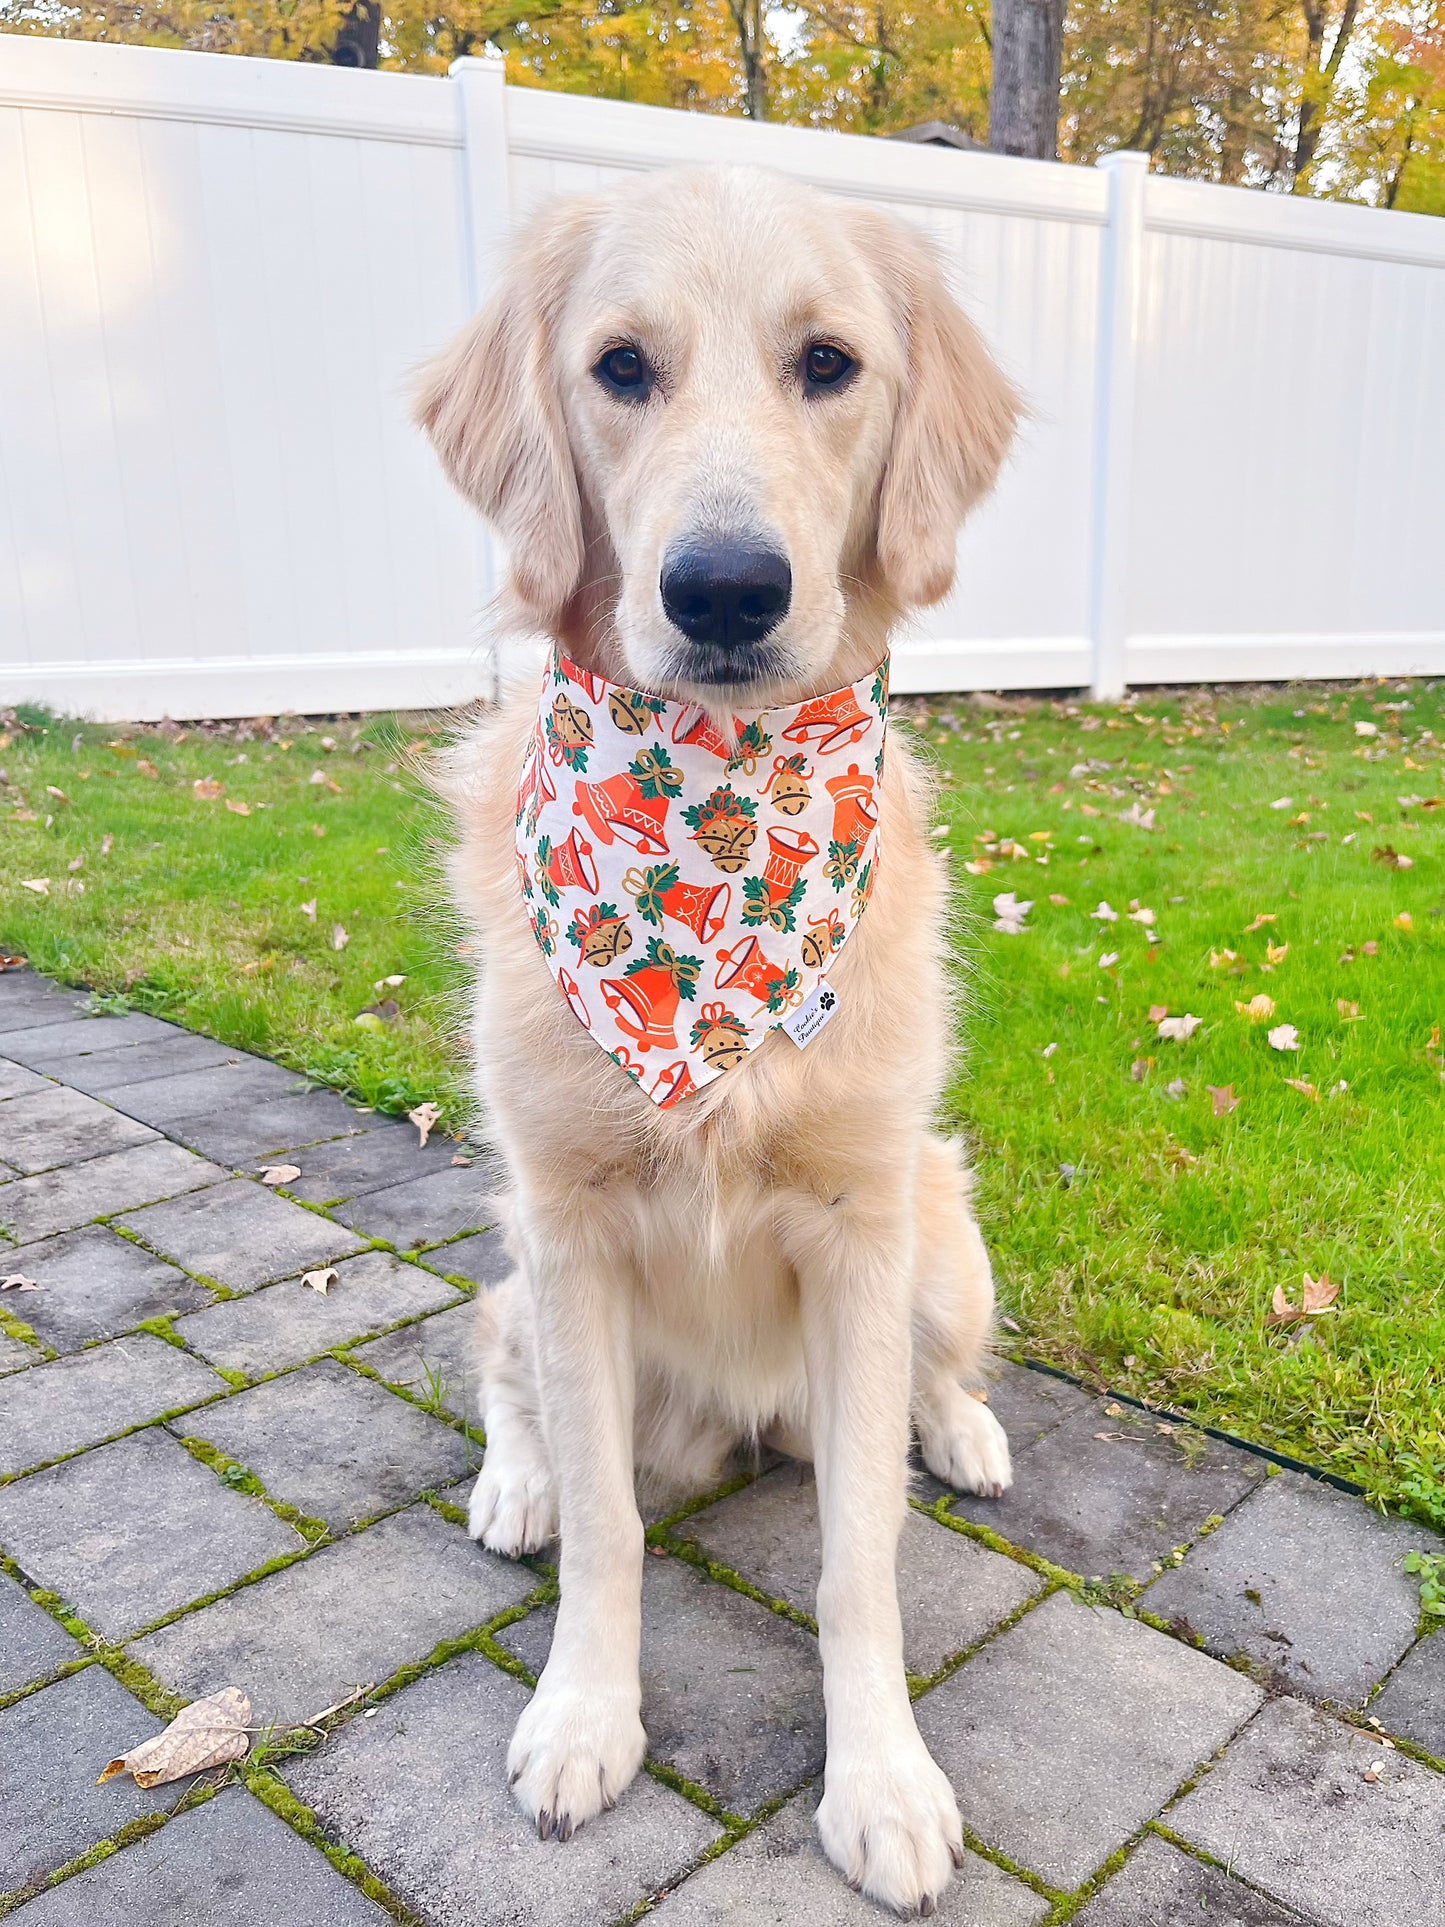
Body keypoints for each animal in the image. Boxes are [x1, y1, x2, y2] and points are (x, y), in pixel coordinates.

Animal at [421, 165, 1017, 1911]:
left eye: (829, 363)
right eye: (621, 366)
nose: (729, 589)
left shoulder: (861, 1228)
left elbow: (860, 1559)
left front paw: (881, 1779)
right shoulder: (564, 1225)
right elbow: (610, 1527)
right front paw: (581, 1715)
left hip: (941, 1235)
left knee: (936, 1374)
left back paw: (964, 1426)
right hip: (530, 1274)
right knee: (506, 1373)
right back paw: (516, 1478)